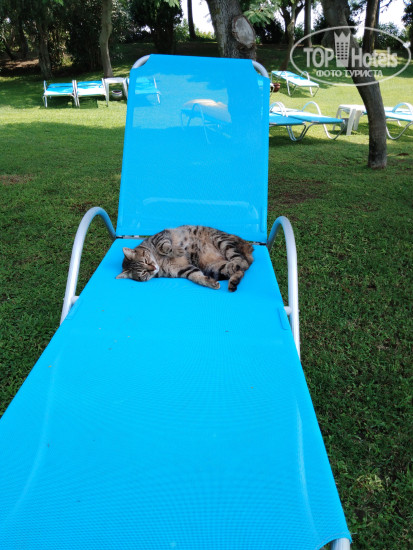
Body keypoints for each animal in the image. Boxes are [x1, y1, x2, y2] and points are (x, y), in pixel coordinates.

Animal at [116, 225, 254, 292]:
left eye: (145, 260)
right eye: (144, 273)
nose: (153, 268)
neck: (159, 262)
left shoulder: (160, 237)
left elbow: (164, 247)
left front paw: (178, 250)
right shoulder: (183, 270)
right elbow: (196, 276)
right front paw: (210, 283)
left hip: (221, 241)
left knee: (242, 261)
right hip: (214, 267)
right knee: (241, 270)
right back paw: (233, 282)